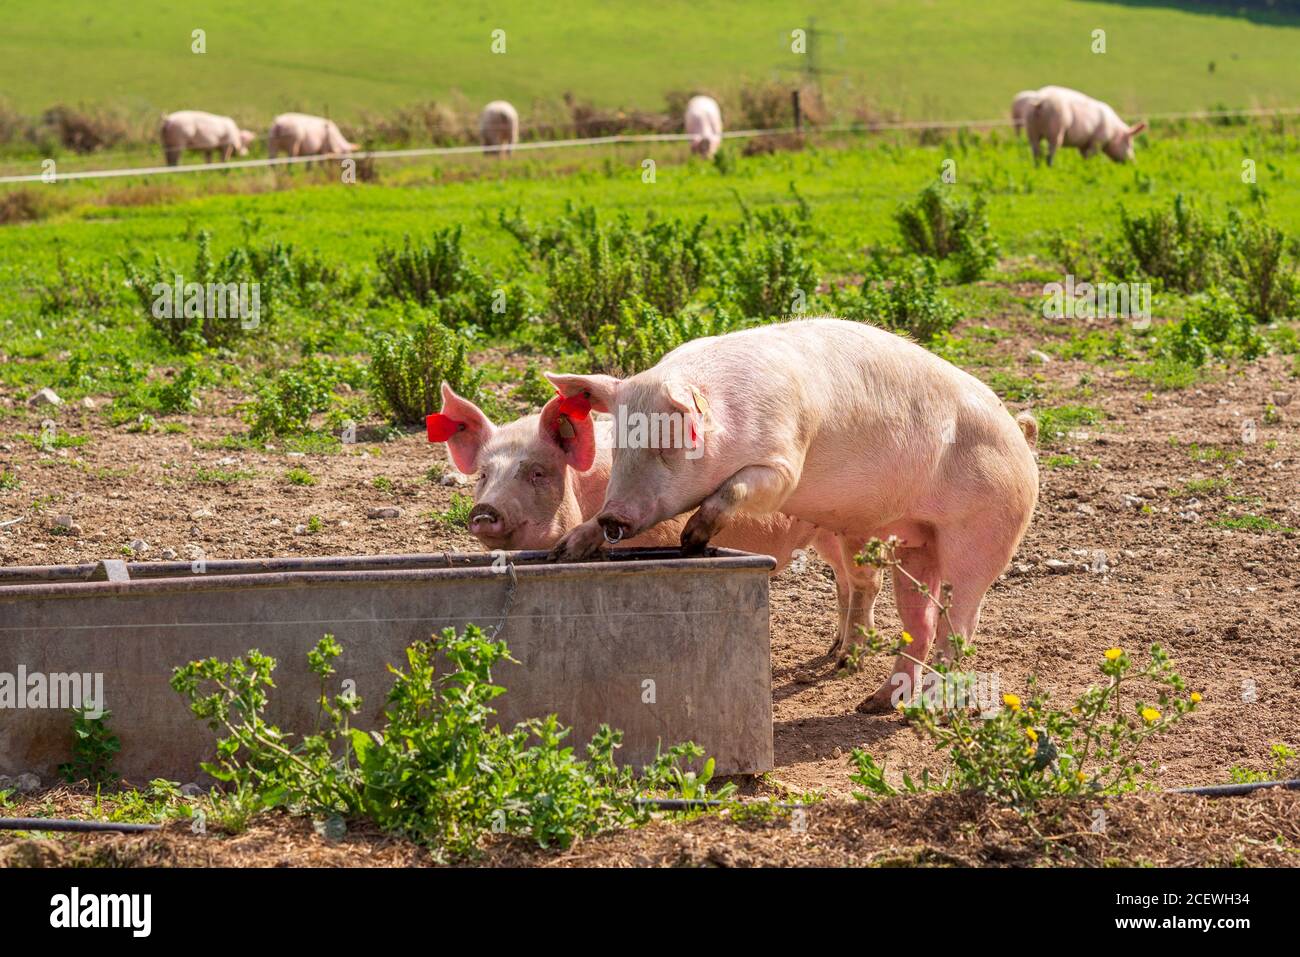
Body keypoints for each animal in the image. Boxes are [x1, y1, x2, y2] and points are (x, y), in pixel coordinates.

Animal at [430, 382, 885, 659]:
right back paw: (832, 650)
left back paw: (849, 660)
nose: (484, 510)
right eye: (483, 475)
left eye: (537, 473)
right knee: (843, 580)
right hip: (823, 530)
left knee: (866, 579)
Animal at [546, 317, 1039, 713]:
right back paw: (875, 704)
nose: (614, 518)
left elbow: (736, 488)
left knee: (959, 626)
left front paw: (692, 538)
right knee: (920, 623)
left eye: (667, 443)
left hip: (982, 536)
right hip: (918, 544)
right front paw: (565, 551)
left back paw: (927, 707)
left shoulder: (784, 463)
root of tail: (1020, 434)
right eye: (620, 444)